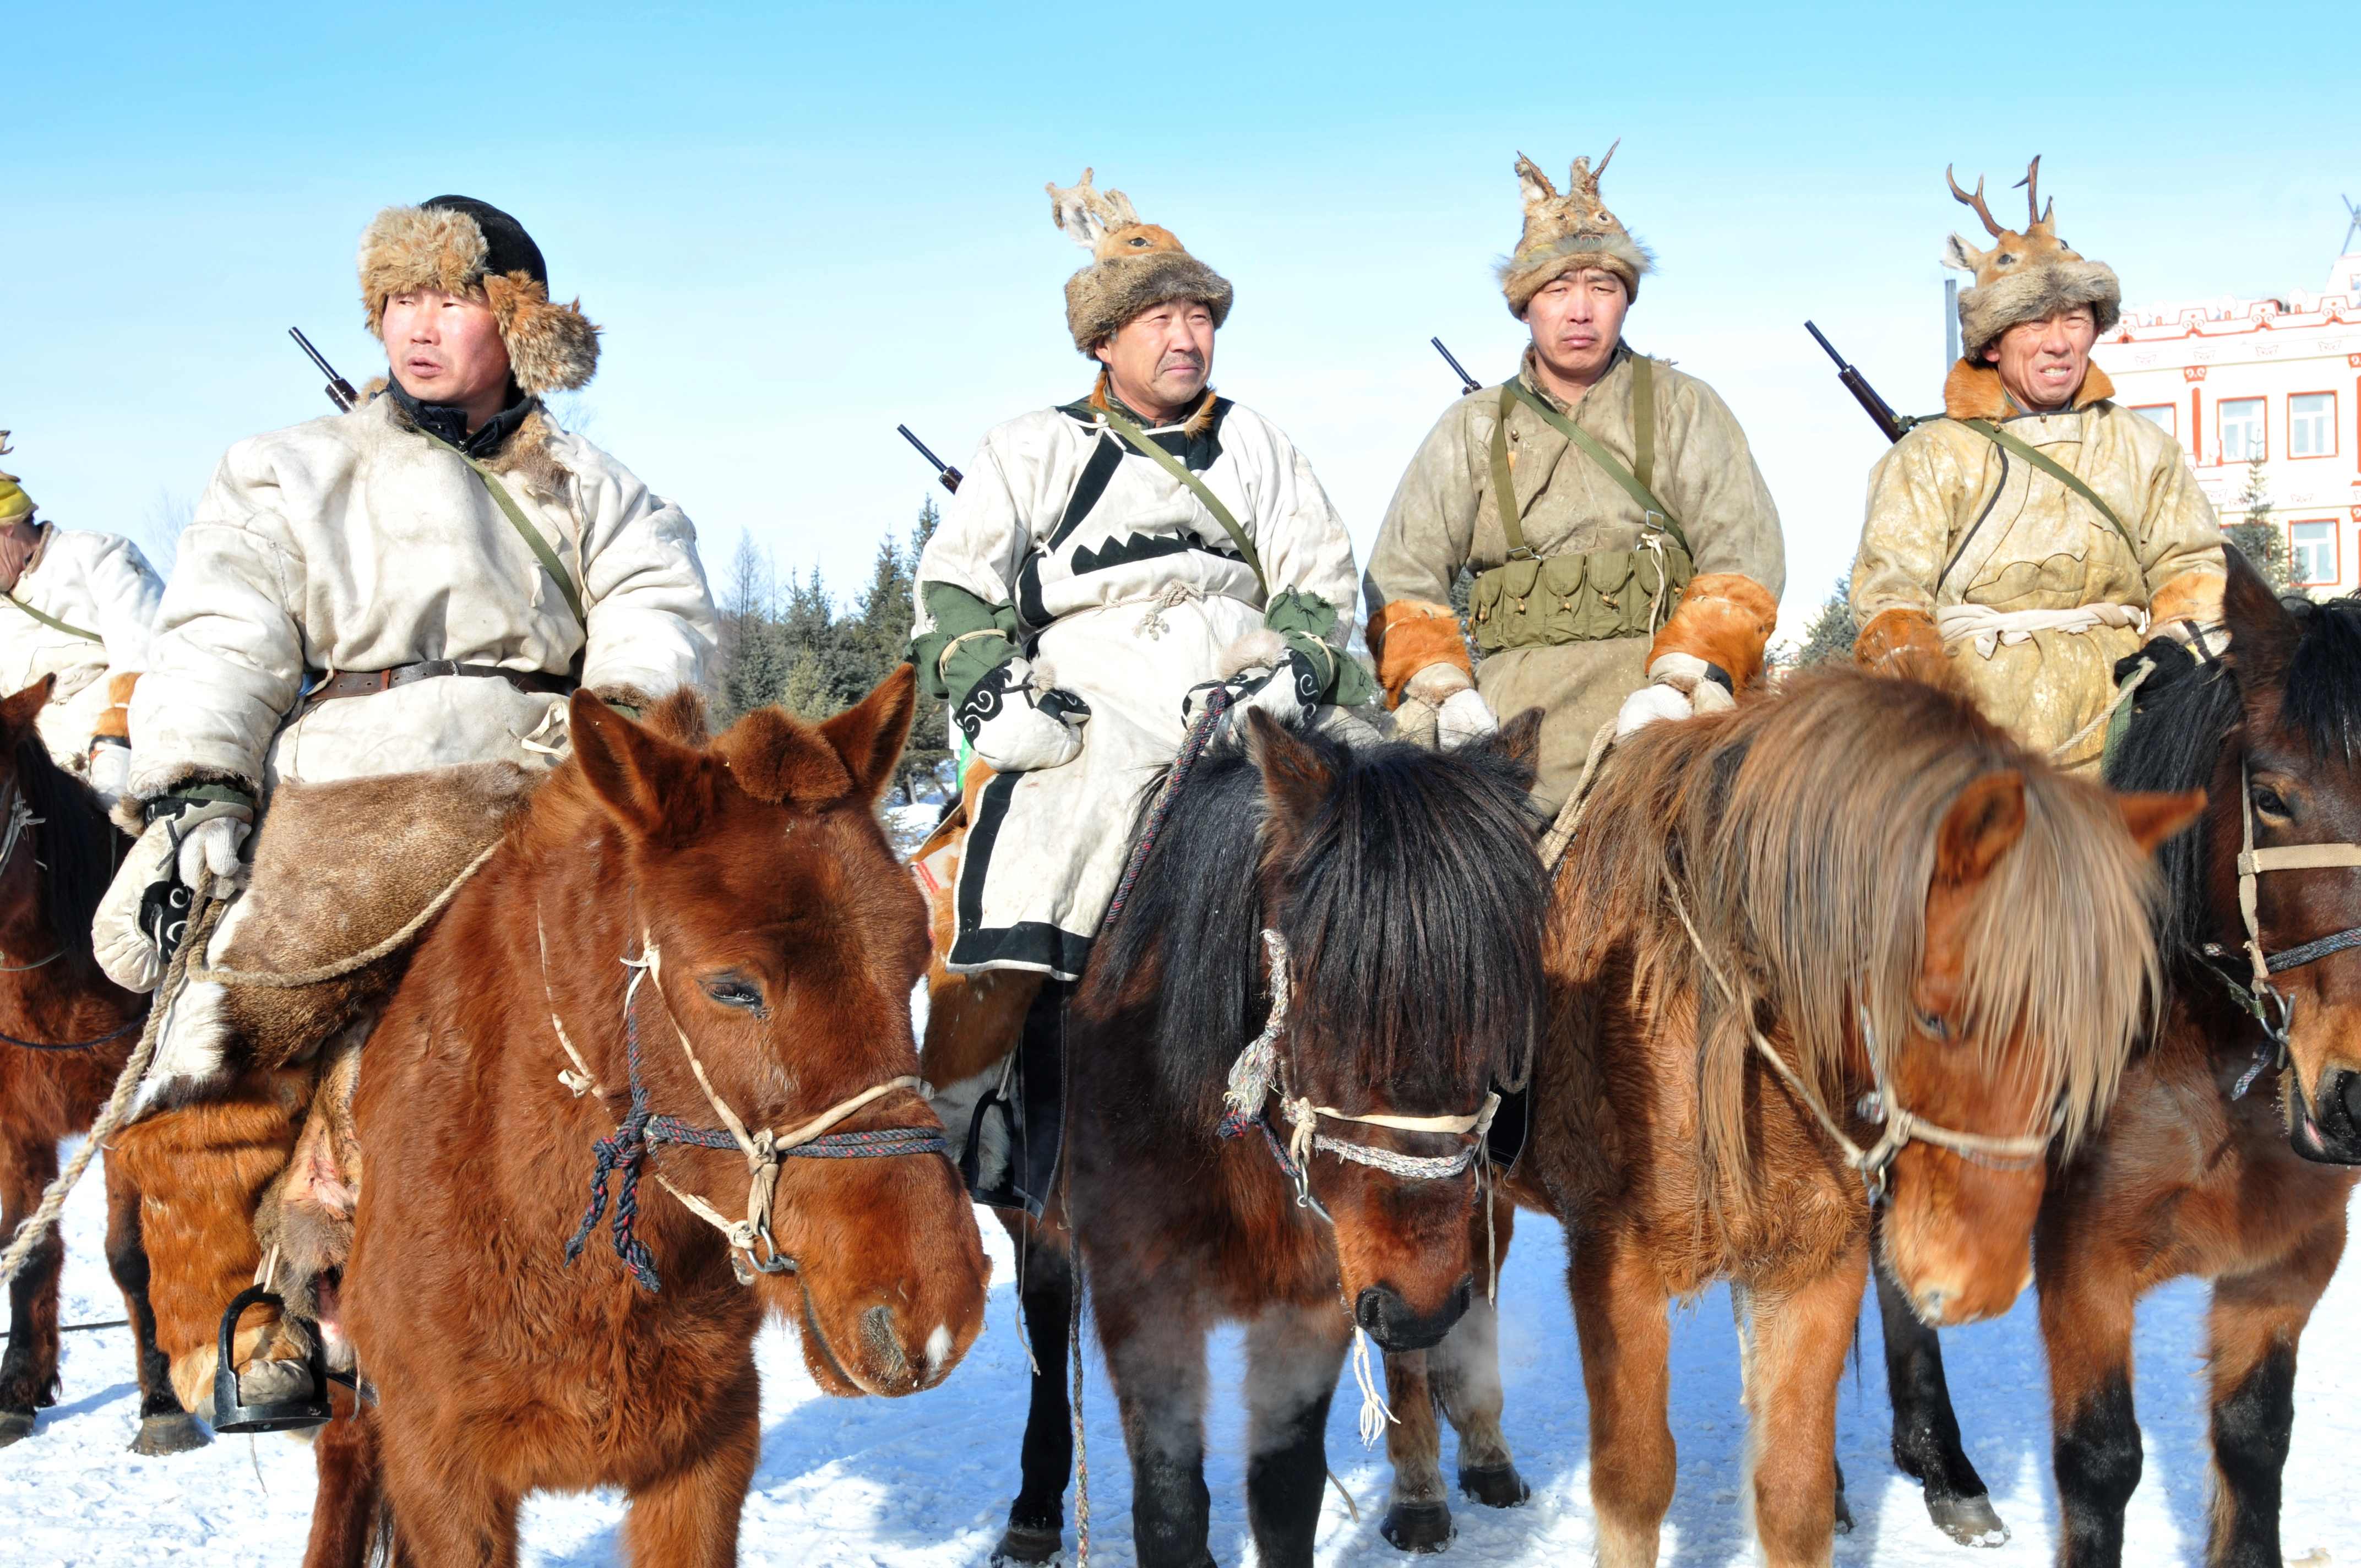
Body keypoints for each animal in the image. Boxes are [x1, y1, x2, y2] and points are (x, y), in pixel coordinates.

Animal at [0, 675, 203, 1455]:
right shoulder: (13, 1124)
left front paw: (162, 1401)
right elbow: (27, 1246)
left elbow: (131, 1254)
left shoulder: (121, 1112)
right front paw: (18, 1388)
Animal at [1053, 708, 1548, 1567]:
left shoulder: (1319, 1297)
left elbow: (1287, 1491)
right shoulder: (1140, 1302)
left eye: (1498, 1010)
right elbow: (1170, 1505)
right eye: (1322, 1008)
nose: (1413, 1307)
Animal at [1502, 661, 2200, 1567]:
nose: (1974, 1287)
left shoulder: (1816, 1262)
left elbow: (1791, 1492)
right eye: (1935, 1015)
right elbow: (1634, 1485)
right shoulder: (1612, 1266)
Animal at [1860, 554, 2361, 1567]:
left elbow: (2254, 1440)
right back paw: (1944, 1466)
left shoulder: (2288, 1262)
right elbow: (2098, 1461)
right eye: (2270, 796)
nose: (2358, 1095)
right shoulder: (2083, 1261)